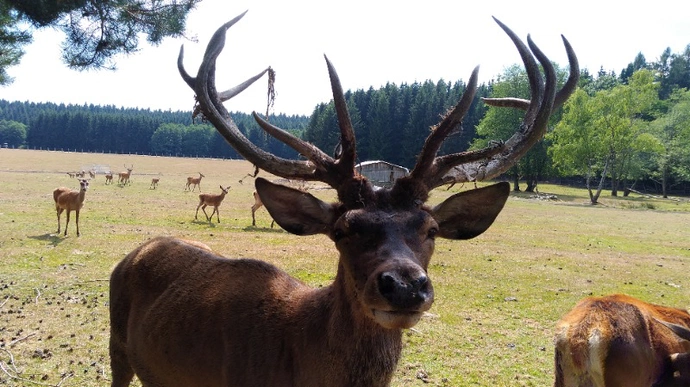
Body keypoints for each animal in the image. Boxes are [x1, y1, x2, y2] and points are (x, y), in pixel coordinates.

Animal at [110, 11, 576, 387]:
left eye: (431, 229)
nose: (404, 286)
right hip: (117, 344)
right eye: (344, 229)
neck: (295, 355)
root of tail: (136, 250)